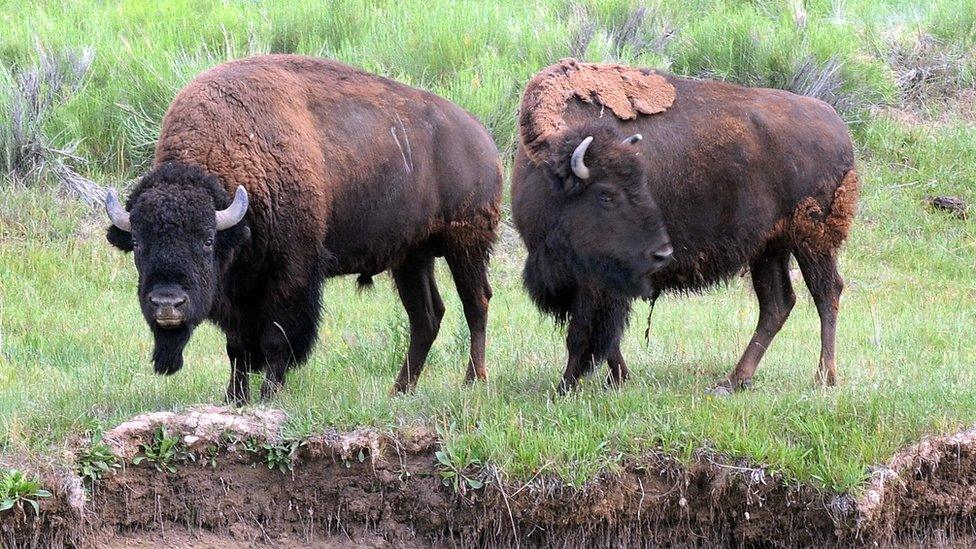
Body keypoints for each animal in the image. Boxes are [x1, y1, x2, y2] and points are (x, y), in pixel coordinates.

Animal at [107, 54, 504, 402]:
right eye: (138, 243)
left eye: (206, 239)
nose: (167, 303)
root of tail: (482, 140)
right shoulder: (236, 292)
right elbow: (237, 347)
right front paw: (235, 398)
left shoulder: (290, 275)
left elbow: (276, 338)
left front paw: (269, 395)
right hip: (412, 257)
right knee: (426, 316)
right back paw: (400, 390)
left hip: (465, 245)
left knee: (476, 303)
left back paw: (473, 380)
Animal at [516, 60, 856, 392]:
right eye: (606, 194)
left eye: (639, 185)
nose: (662, 253)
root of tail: (838, 124)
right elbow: (604, 336)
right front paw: (618, 378)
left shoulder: (597, 281)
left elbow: (583, 334)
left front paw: (565, 388)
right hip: (770, 248)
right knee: (777, 304)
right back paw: (733, 381)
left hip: (812, 241)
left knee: (826, 292)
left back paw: (824, 377)